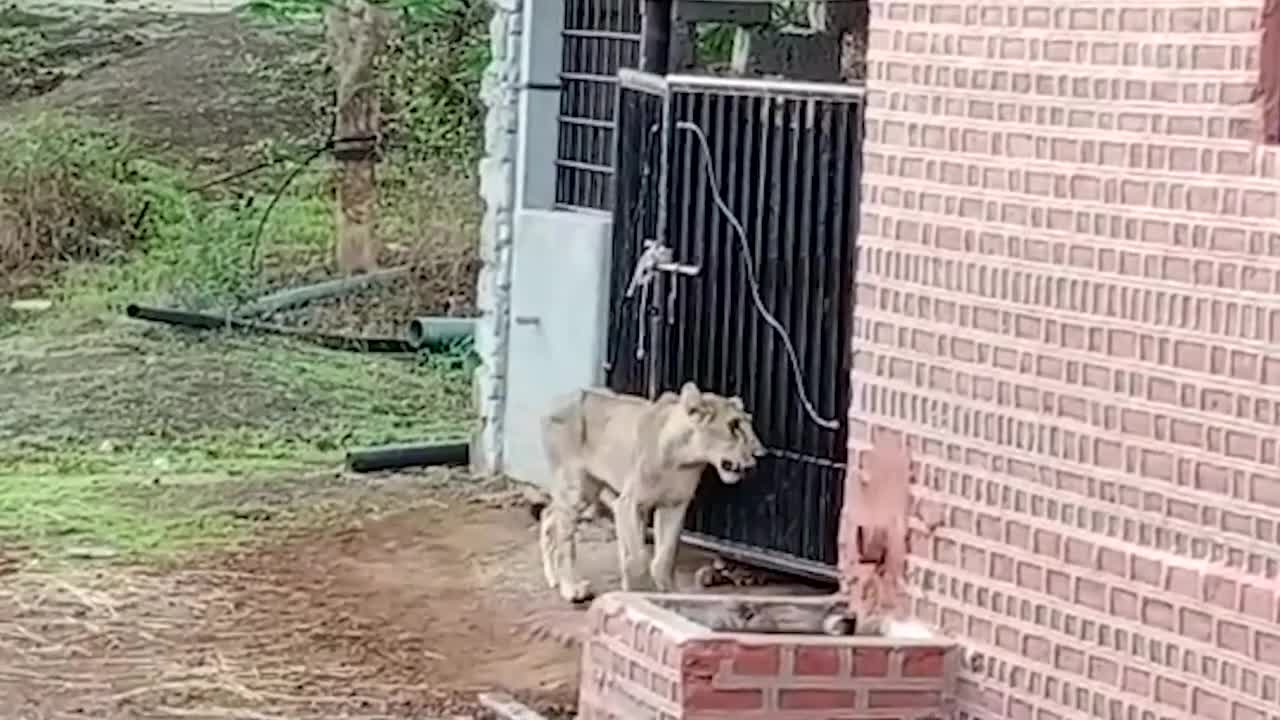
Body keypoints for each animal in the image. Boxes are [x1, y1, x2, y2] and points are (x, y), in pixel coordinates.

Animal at [535, 381, 762, 599]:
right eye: (733, 426)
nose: (760, 454)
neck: (684, 460)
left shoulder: (675, 505)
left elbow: (666, 556)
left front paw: (669, 593)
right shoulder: (629, 504)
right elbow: (637, 557)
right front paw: (638, 594)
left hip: (589, 490)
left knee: (548, 514)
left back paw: (553, 578)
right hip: (575, 486)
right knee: (564, 536)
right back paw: (571, 587)